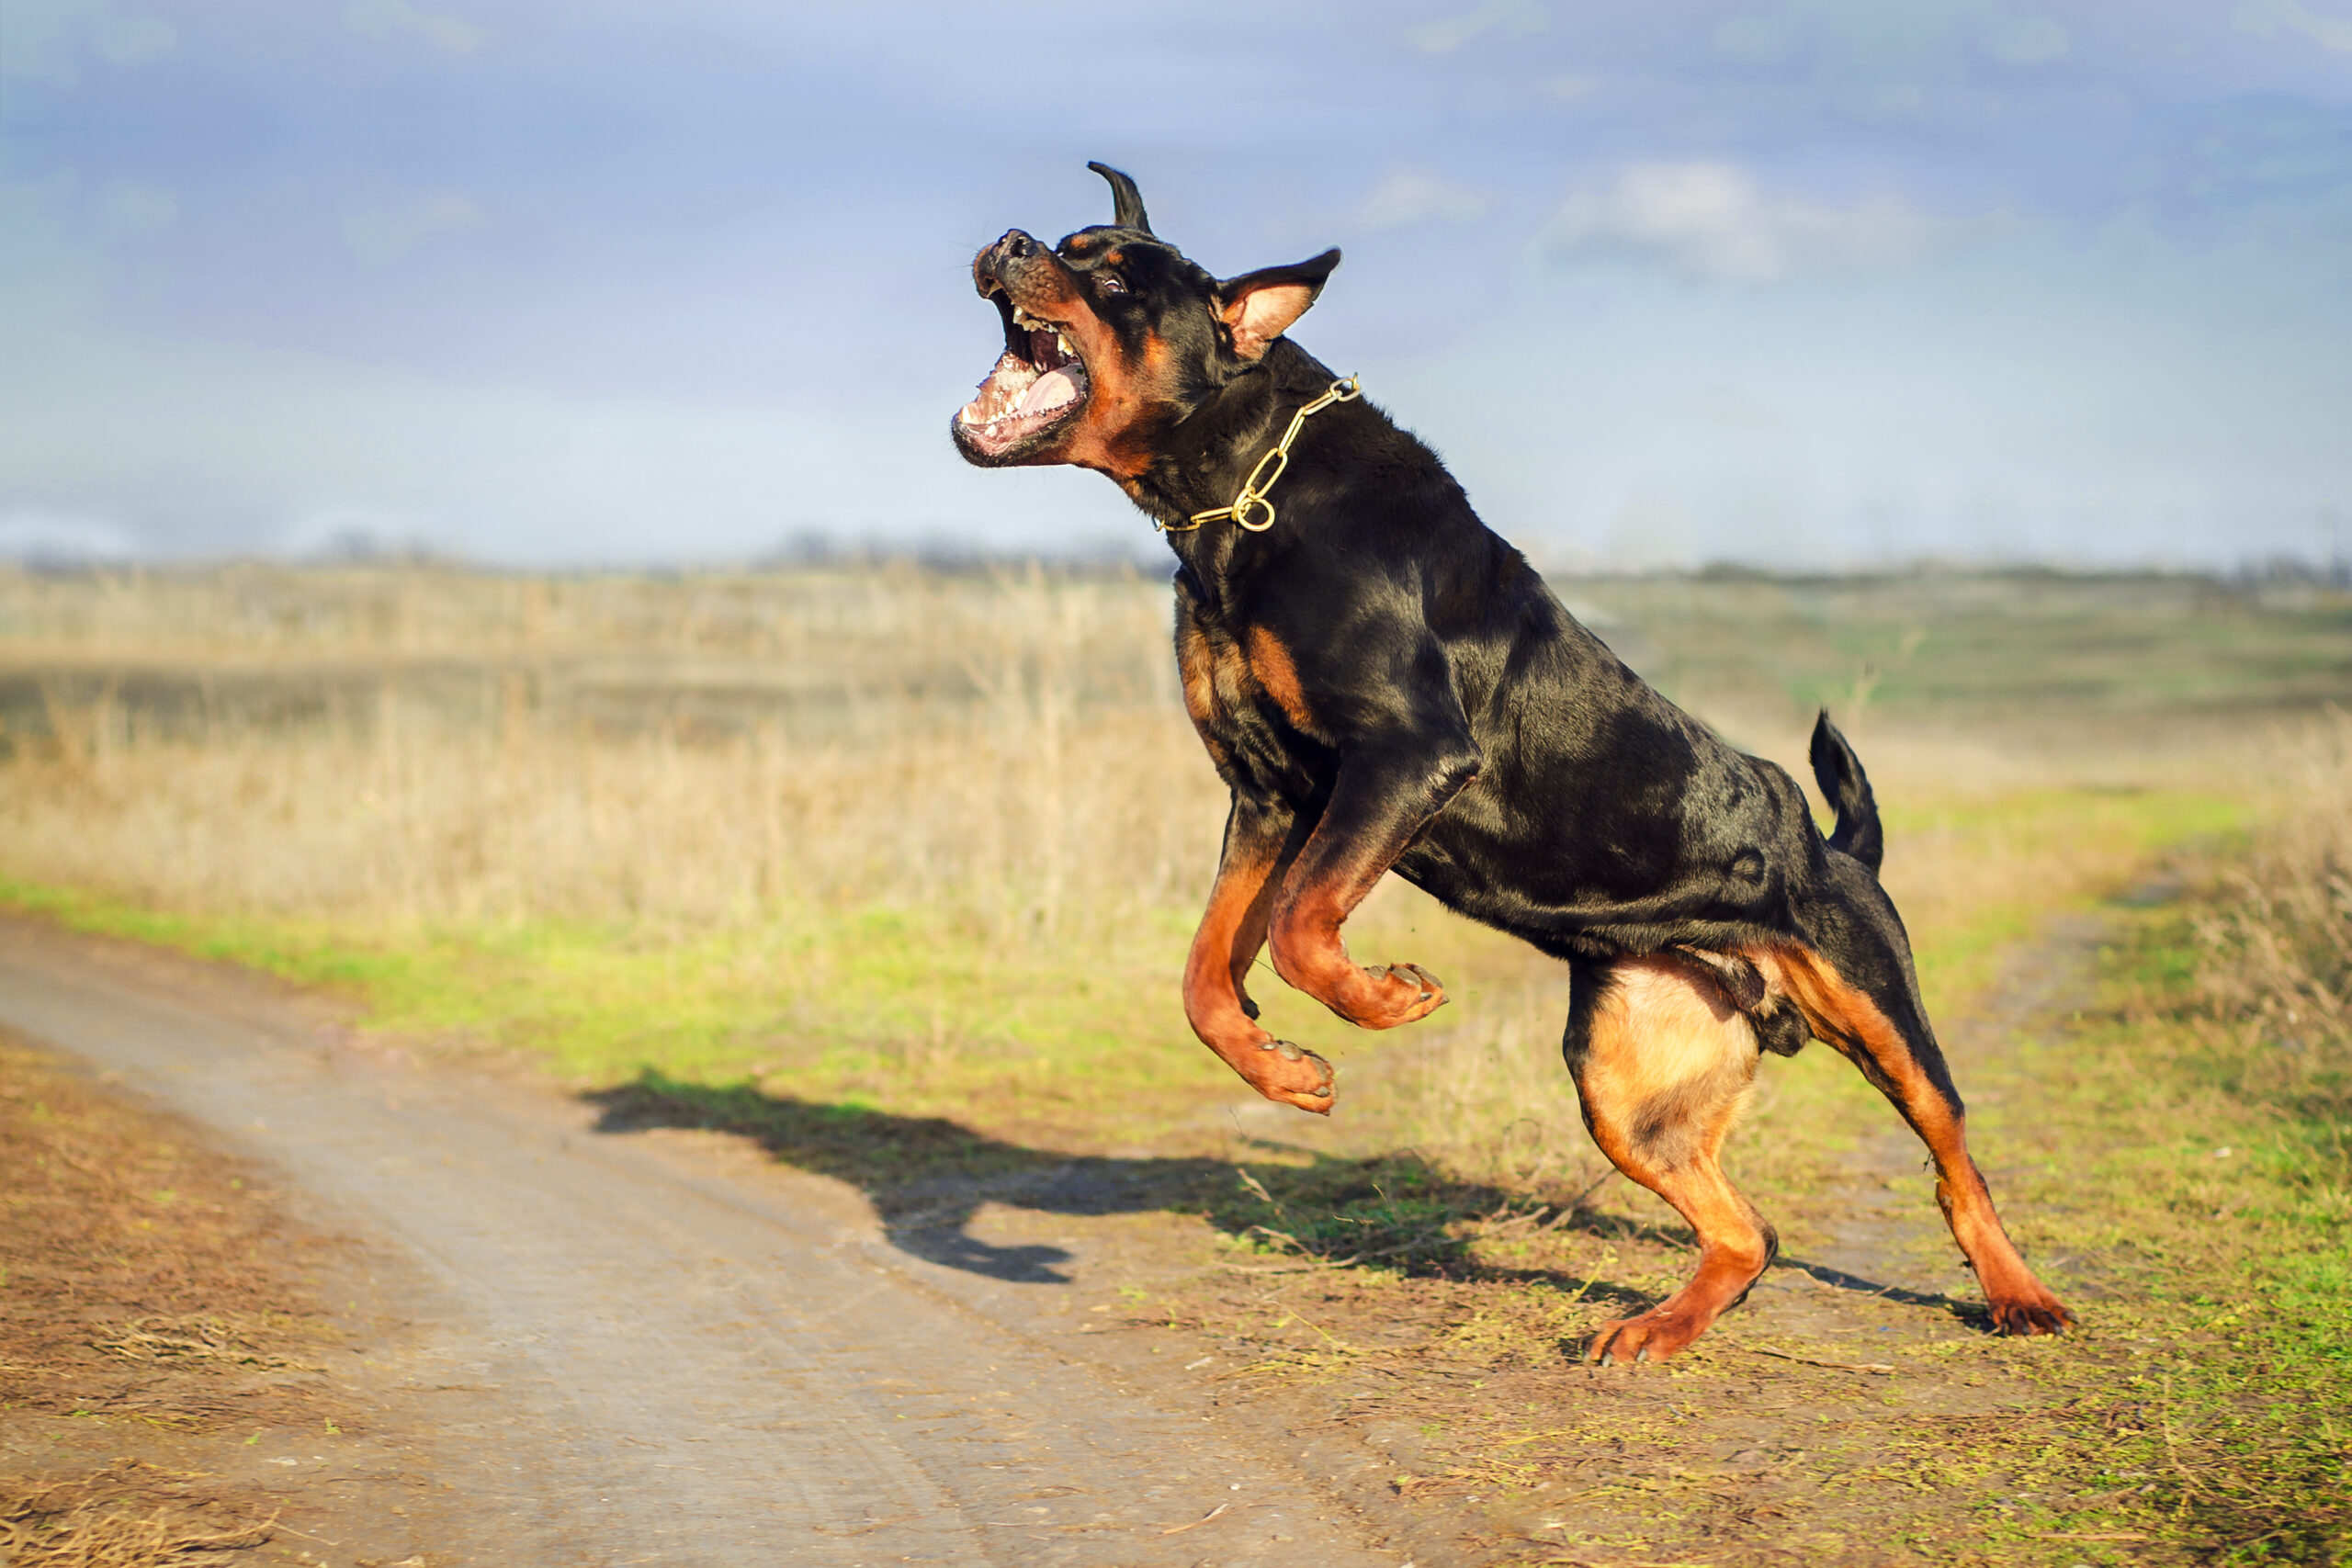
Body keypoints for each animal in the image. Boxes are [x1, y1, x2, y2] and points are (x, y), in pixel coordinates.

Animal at [945, 162, 2069, 1363]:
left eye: (1112, 273)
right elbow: (1208, 976)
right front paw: (1289, 1071)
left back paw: (2020, 1296)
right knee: (1748, 1232)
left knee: (1953, 1160)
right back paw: (1656, 1330)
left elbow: (1298, 929)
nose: (1008, 242)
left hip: (1875, 1004)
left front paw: (1387, 999)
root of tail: (1831, 849)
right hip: (1625, 1084)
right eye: (1066, 243)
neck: (1244, 492)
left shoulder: (1406, 754)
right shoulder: (1267, 796)